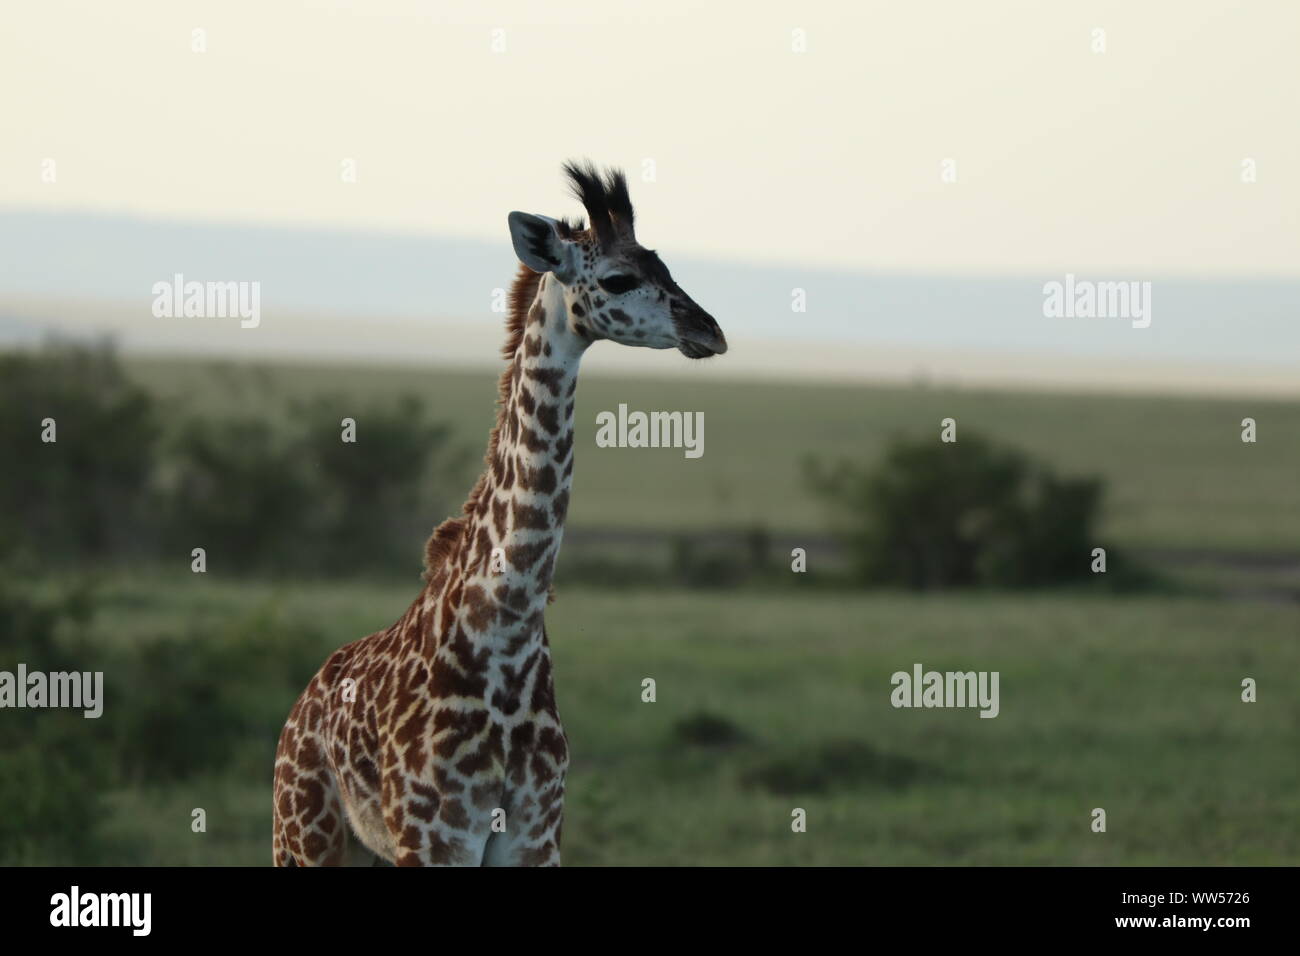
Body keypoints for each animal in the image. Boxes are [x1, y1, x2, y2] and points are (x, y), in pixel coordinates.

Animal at [271, 162, 733, 868]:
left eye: (665, 264)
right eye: (619, 278)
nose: (709, 330)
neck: (505, 638)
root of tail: (300, 706)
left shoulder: (534, 835)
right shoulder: (438, 837)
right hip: (304, 836)